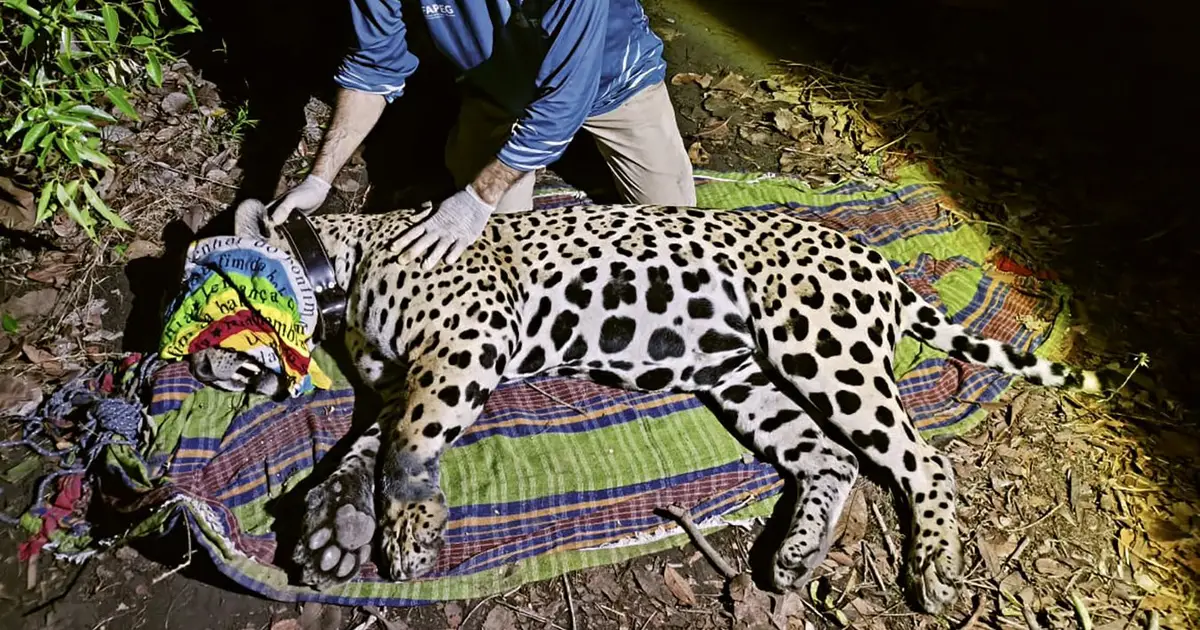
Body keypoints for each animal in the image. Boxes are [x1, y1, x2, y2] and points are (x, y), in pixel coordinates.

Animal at [202, 197, 1113, 614]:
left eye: (205, 287)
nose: (203, 367)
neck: (345, 266)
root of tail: (877, 257)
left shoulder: (469, 342)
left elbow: (412, 441)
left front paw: (409, 539)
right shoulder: (398, 380)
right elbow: (367, 446)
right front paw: (335, 530)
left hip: (823, 350)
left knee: (923, 458)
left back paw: (934, 568)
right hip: (744, 380)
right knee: (833, 457)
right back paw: (794, 557)